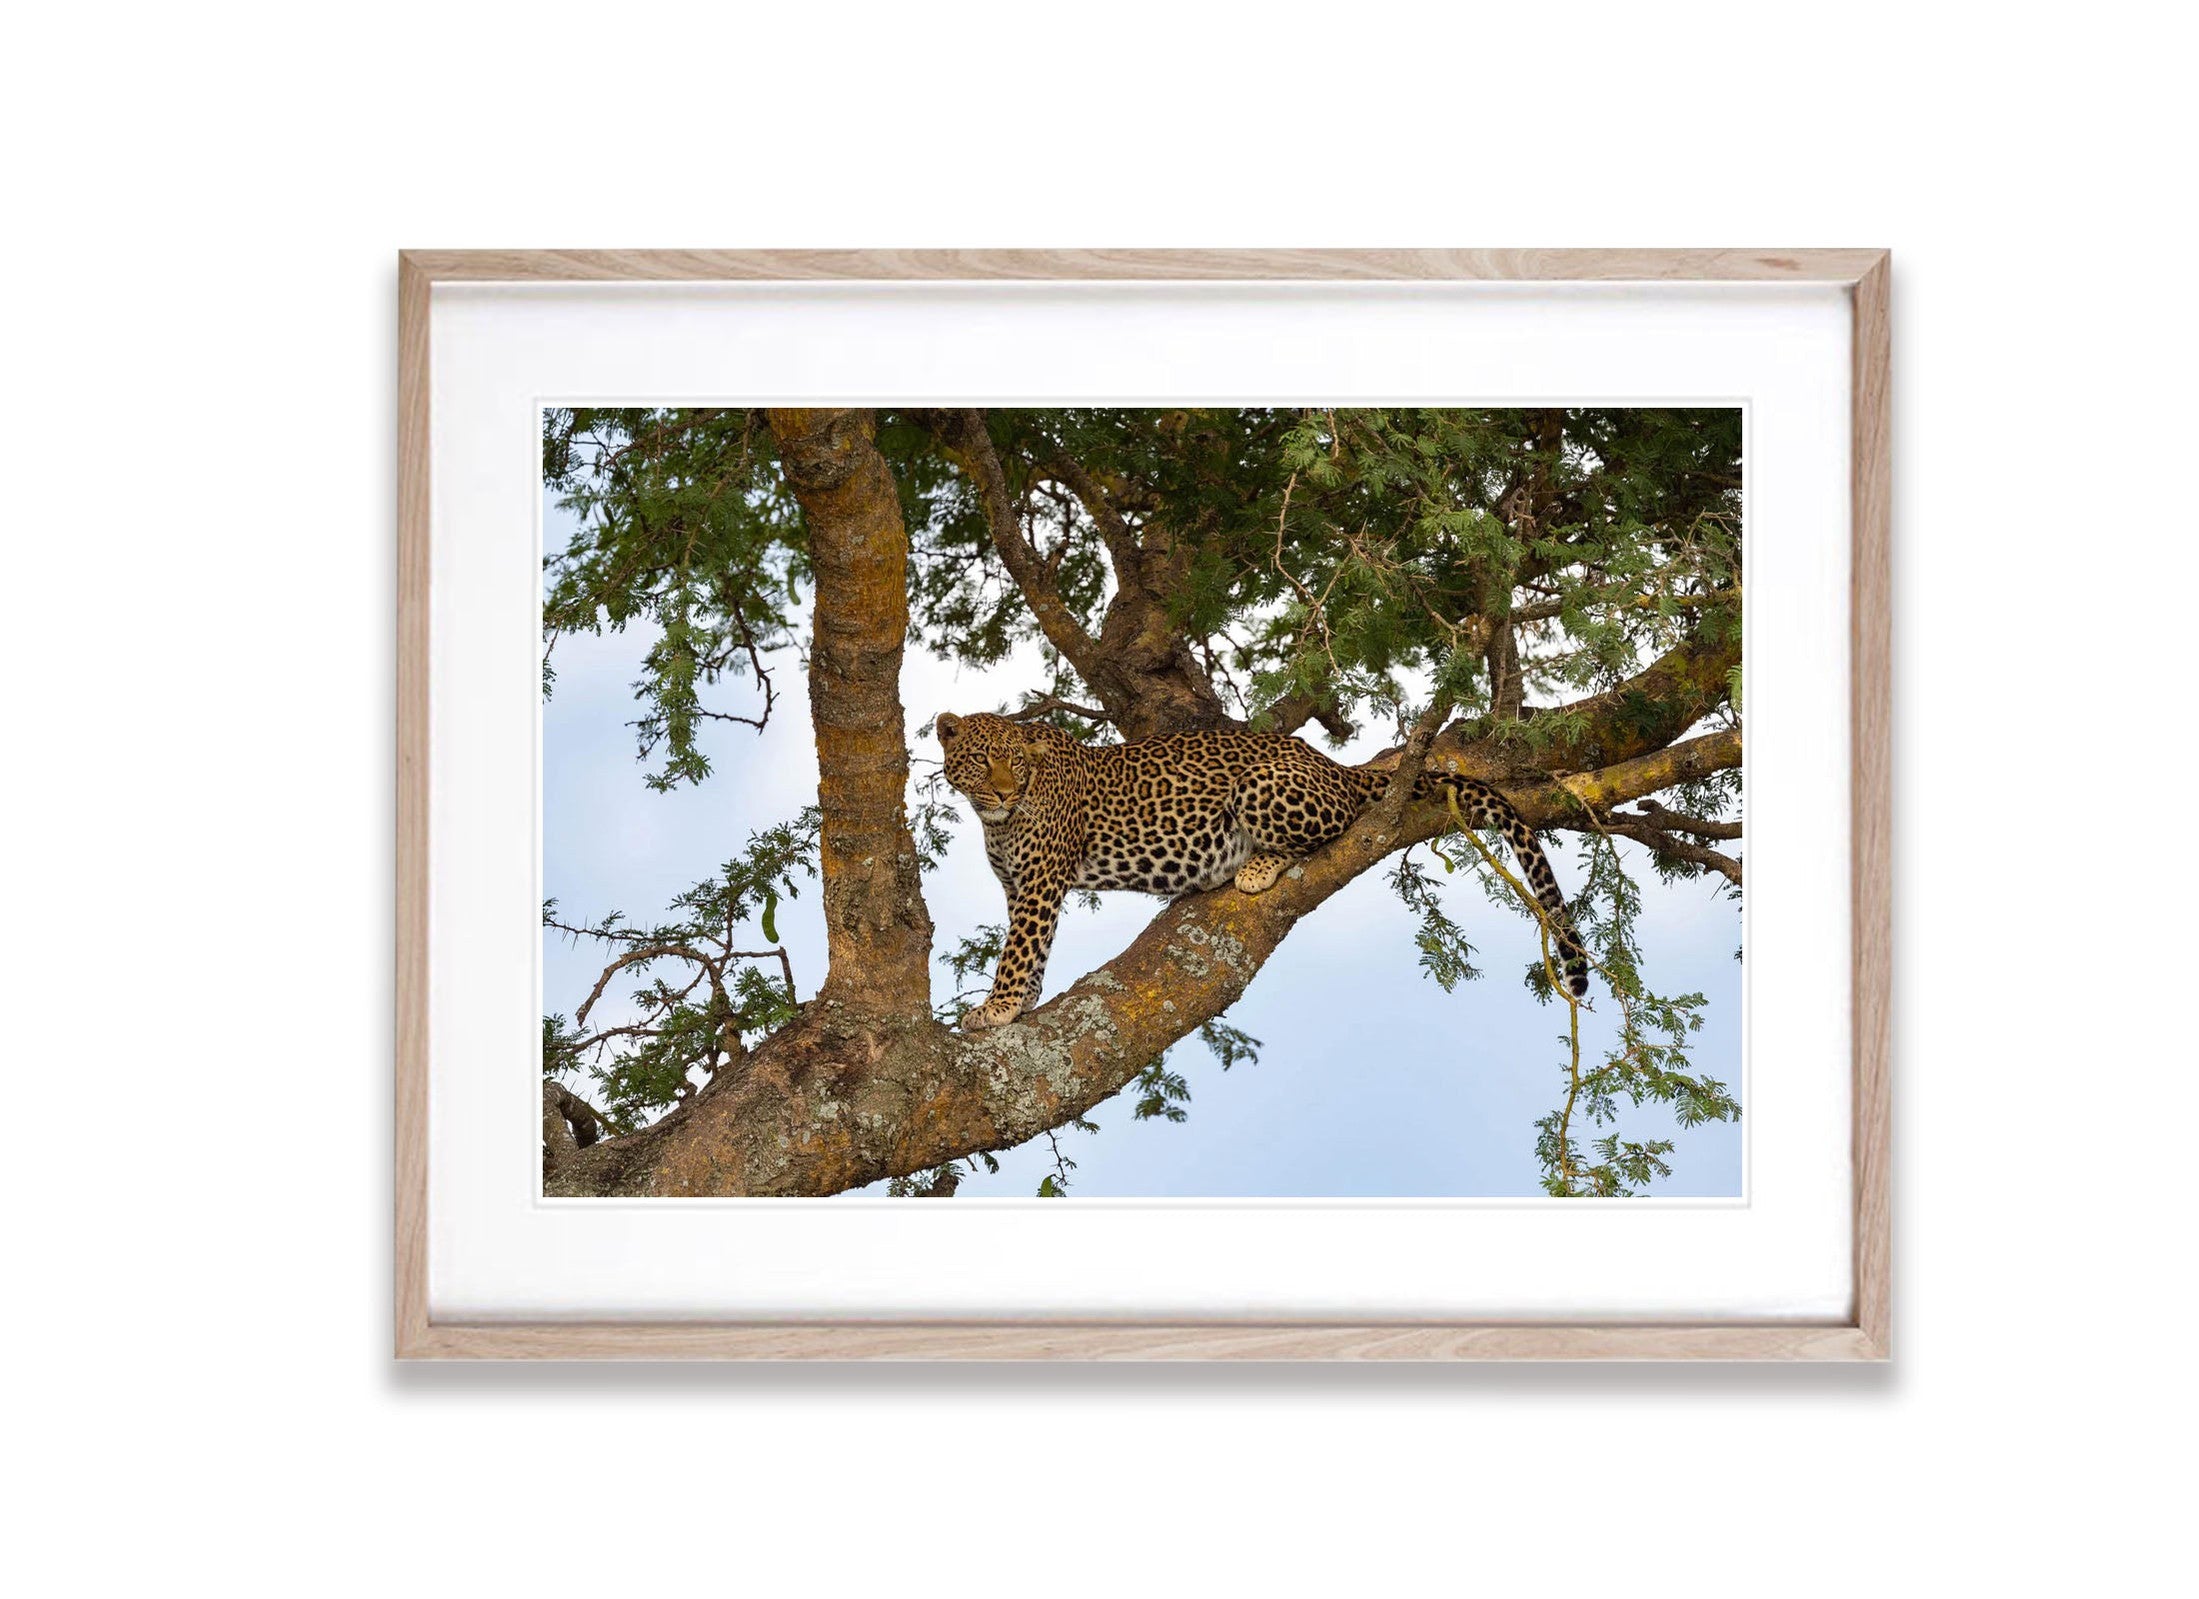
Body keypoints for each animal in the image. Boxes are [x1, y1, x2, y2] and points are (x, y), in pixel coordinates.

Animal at [936, 708, 1592, 1033]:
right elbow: (1035, 951)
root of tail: (1332, 764)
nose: (1004, 791)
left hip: (1261, 786)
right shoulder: (1020, 885)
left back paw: (1258, 865)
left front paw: (995, 1008)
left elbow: (1019, 949)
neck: (994, 819)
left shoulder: (1041, 881)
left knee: (1342, 824)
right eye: (982, 761)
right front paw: (1022, 1003)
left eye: (1015, 763)